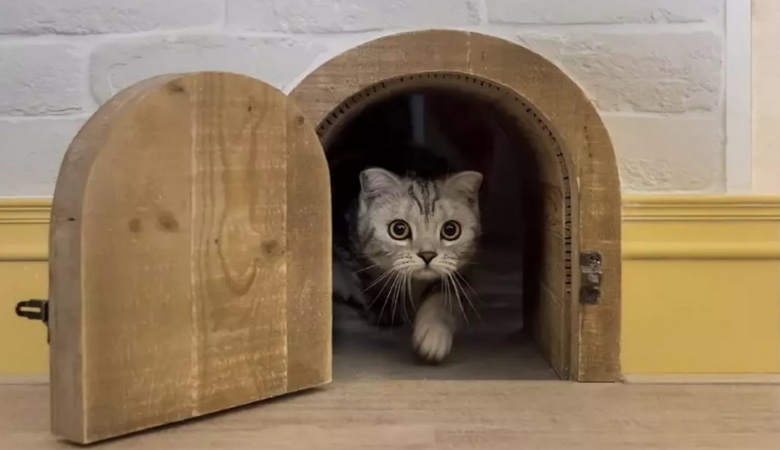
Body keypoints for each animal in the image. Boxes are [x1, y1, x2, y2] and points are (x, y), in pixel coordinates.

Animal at [334, 163, 484, 364]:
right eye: (399, 229)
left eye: (450, 230)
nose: (427, 254)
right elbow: (366, 281)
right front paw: (385, 308)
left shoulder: (461, 271)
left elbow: (445, 298)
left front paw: (433, 334)